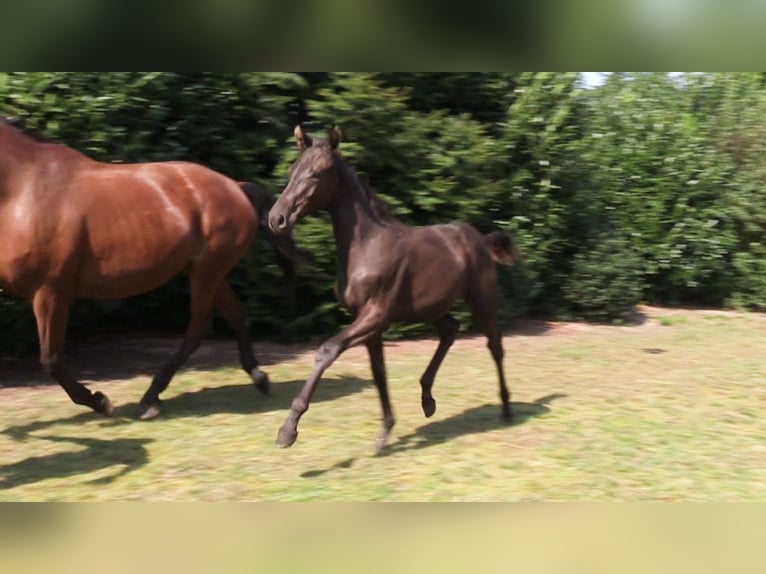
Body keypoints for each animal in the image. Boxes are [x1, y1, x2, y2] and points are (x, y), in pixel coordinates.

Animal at [0, 119, 296, 420]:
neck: (23, 190)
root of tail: (235, 186)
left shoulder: (50, 290)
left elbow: (51, 359)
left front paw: (101, 402)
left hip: (207, 272)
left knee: (197, 330)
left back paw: (151, 398)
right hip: (209, 272)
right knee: (235, 316)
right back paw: (259, 378)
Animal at [268, 127, 520, 454]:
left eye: (318, 173)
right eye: (291, 170)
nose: (276, 219)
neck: (367, 246)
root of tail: (481, 239)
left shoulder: (376, 315)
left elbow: (327, 350)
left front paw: (288, 431)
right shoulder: (368, 321)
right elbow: (378, 372)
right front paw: (385, 433)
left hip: (482, 300)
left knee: (495, 347)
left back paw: (506, 409)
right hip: (431, 306)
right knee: (450, 330)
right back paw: (427, 399)